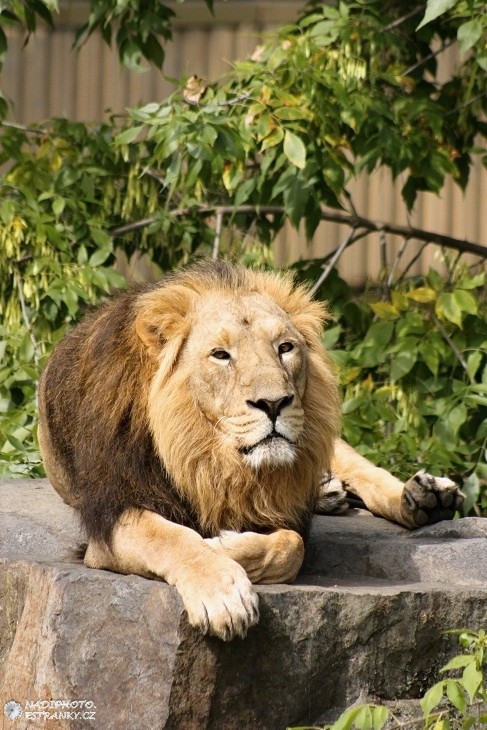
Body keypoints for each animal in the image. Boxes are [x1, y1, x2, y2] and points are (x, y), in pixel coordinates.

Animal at [38, 260, 466, 636]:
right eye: (221, 355)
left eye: (285, 348)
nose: (274, 403)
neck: (209, 458)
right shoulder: (110, 515)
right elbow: (173, 538)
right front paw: (222, 595)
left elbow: (292, 544)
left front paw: (226, 544)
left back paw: (427, 497)